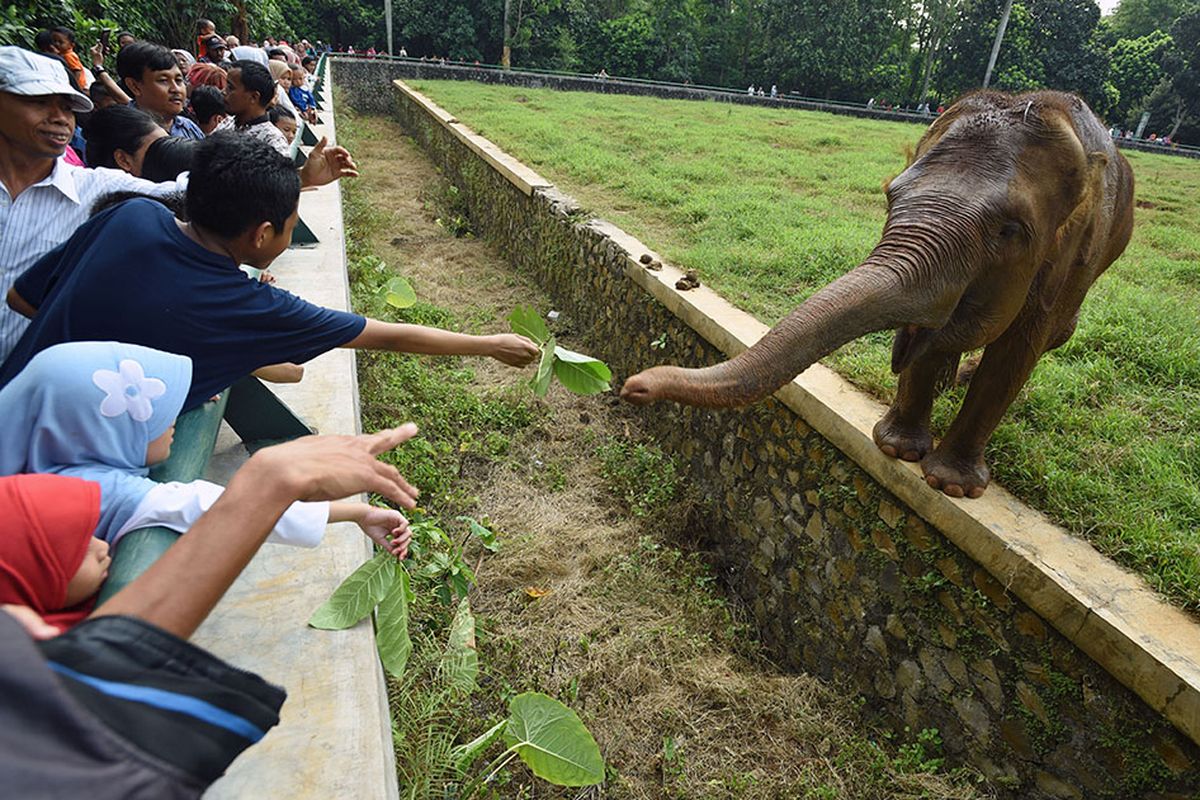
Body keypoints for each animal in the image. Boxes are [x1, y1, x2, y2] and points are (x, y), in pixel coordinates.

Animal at [619, 90, 1132, 496]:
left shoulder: (1069, 266)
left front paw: (950, 486)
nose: (633, 386)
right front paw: (897, 450)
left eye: (1010, 231)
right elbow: (930, 334)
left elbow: (1015, 354)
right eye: (890, 195)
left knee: (1051, 337)